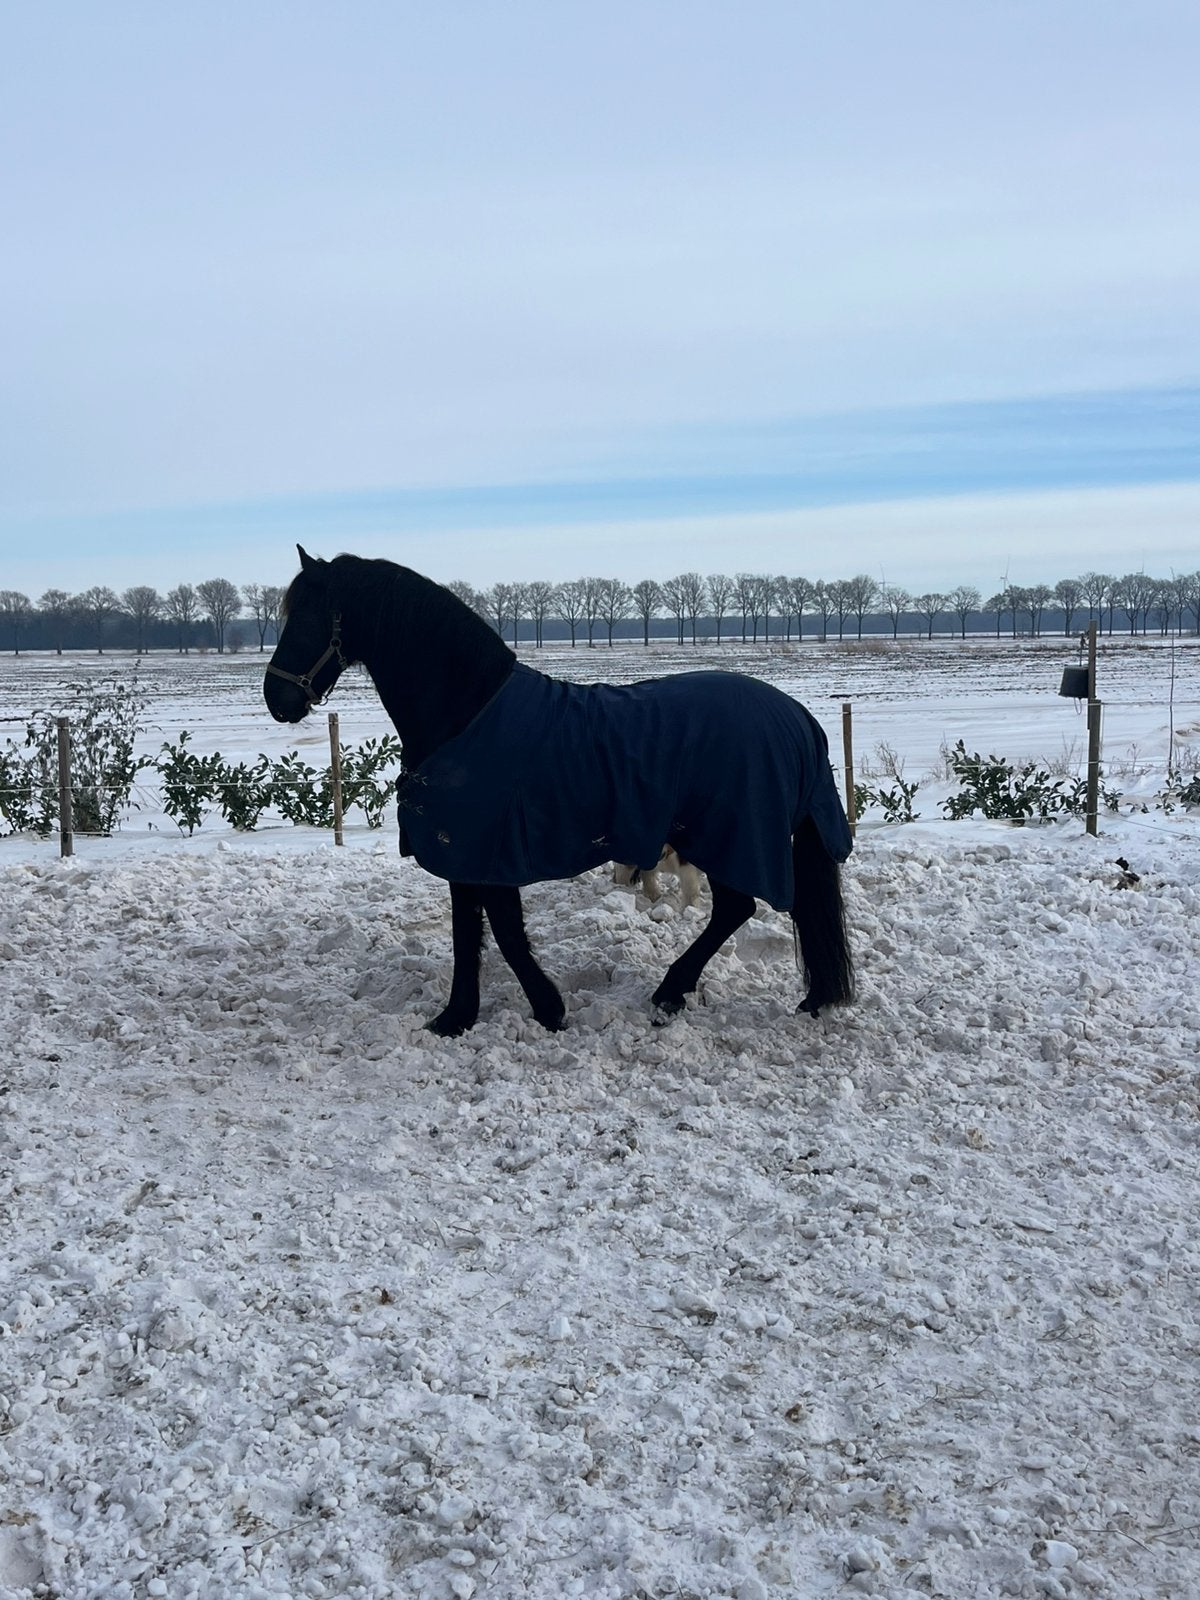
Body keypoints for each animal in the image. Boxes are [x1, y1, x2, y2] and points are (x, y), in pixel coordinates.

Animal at [264, 548, 855, 1037]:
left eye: (308, 616)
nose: (276, 699)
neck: (467, 712)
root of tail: (797, 716)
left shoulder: (484, 851)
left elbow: (498, 932)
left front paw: (536, 1011)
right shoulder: (469, 854)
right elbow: (474, 931)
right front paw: (465, 1016)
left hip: (727, 838)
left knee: (736, 908)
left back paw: (669, 993)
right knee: (739, 909)